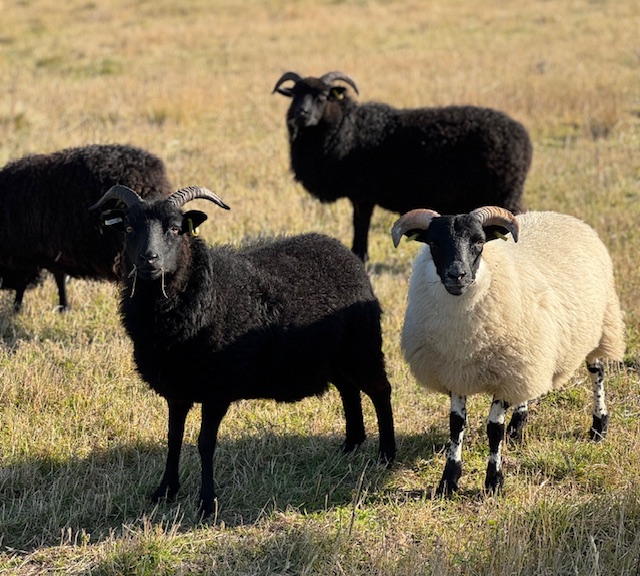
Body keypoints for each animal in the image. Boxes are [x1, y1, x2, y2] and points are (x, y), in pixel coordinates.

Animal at [0, 143, 173, 312]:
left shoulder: (33, 253)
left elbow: (31, 281)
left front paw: (18, 308)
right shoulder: (53, 252)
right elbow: (57, 278)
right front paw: (63, 307)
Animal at [90, 184, 397, 517]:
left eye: (175, 229)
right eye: (129, 229)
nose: (149, 260)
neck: (203, 294)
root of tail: (345, 252)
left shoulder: (217, 389)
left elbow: (205, 443)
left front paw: (207, 503)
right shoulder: (177, 389)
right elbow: (173, 438)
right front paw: (165, 491)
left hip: (362, 346)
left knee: (380, 391)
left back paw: (386, 455)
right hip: (334, 356)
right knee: (348, 390)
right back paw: (351, 445)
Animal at [273, 71, 533, 262]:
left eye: (323, 96)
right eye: (295, 95)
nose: (302, 114)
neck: (348, 129)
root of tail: (523, 138)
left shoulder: (363, 195)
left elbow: (360, 226)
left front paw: (360, 256)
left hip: (505, 193)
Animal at [391, 206, 625, 494]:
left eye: (479, 242)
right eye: (434, 243)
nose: (457, 275)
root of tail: (561, 215)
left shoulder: (504, 375)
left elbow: (494, 430)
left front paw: (494, 481)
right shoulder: (456, 372)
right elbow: (456, 426)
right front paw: (449, 480)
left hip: (600, 326)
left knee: (597, 374)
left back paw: (599, 425)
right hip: (530, 352)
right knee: (527, 389)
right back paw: (518, 424)